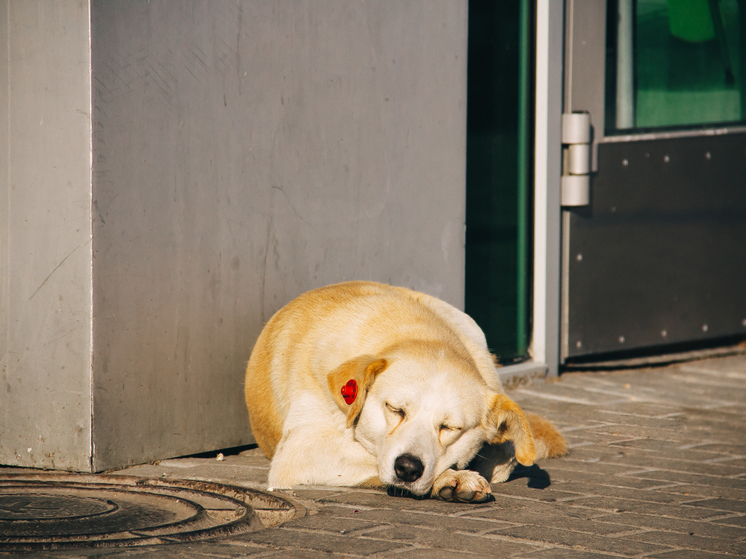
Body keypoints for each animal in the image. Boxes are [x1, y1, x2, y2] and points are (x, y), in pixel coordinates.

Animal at [244, 282, 564, 500]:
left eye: (449, 427)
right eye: (395, 409)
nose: (408, 468)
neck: (414, 331)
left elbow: (504, 454)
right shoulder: (300, 451)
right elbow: (375, 457)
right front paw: (452, 477)